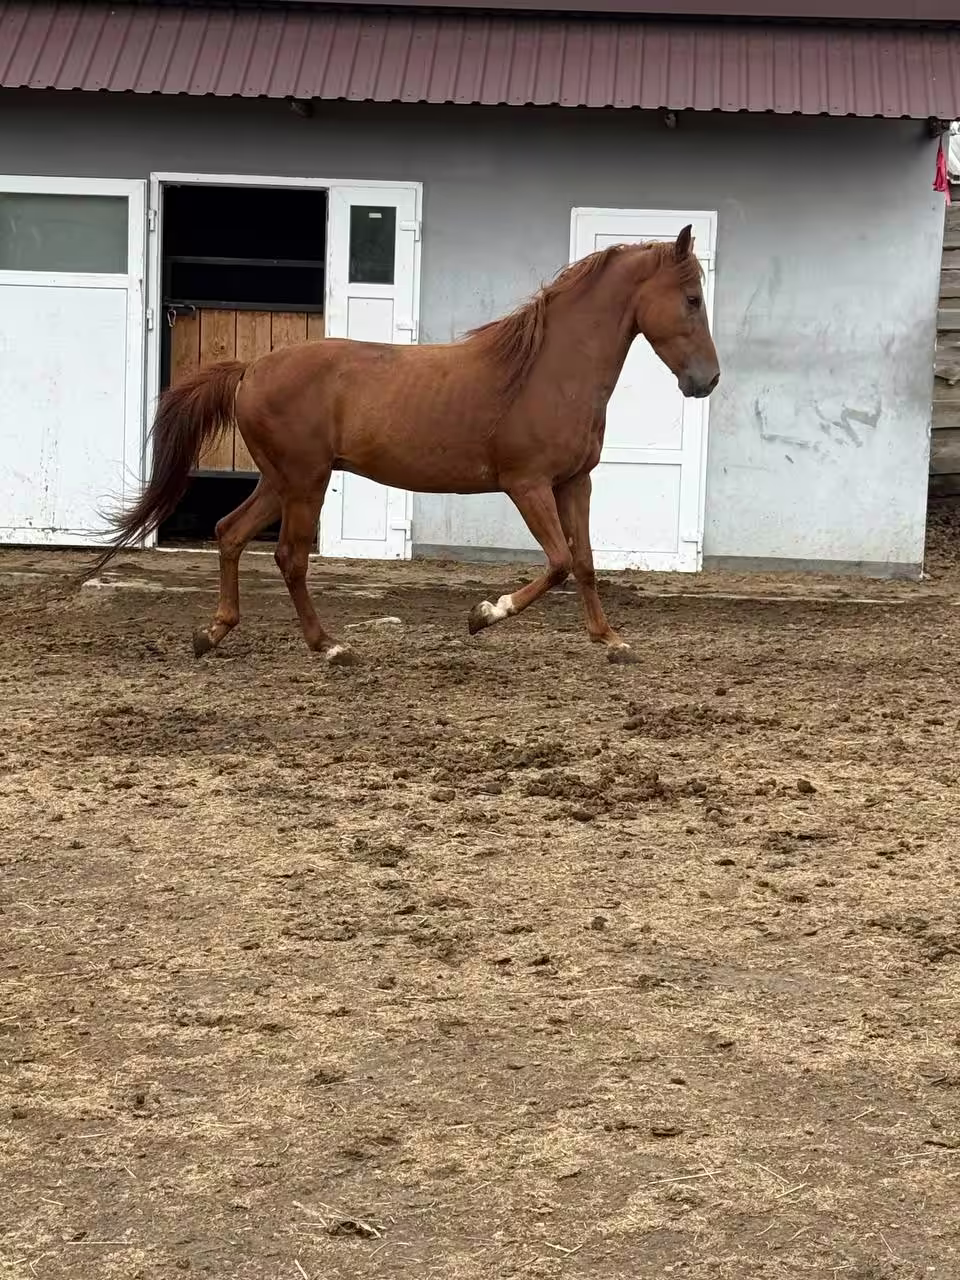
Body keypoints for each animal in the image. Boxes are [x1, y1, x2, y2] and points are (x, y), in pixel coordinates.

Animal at [88, 226, 719, 665]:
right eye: (691, 298)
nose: (707, 380)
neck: (546, 371)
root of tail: (251, 369)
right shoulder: (528, 484)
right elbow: (560, 562)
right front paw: (483, 614)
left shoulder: (574, 482)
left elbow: (585, 563)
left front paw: (611, 640)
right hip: (306, 481)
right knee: (289, 556)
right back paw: (330, 647)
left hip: (280, 480)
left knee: (229, 534)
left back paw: (213, 633)